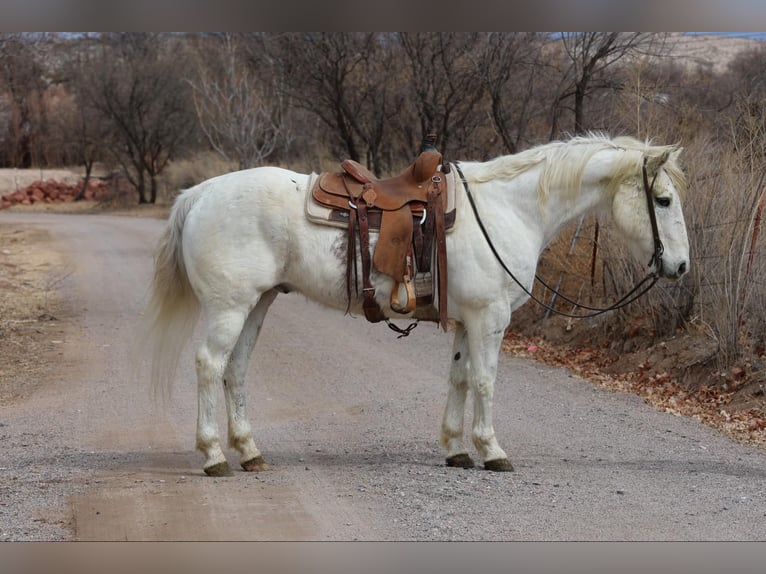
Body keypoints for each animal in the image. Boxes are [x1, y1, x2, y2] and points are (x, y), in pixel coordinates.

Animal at [141, 133, 690, 476]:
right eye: (663, 200)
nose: (681, 267)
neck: (508, 210)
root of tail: (199, 193)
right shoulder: (490, 319)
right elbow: (485, 381)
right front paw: (492, 451)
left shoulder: (467, 321)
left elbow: (460, 378)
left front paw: (456, 450)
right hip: (230, 308)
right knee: (209, 365)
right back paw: (214, 457)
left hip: (257, 305)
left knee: (235, 370)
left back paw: (250, 452)